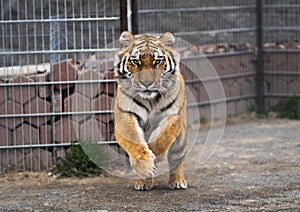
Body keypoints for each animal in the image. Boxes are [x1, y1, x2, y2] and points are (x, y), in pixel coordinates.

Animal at [113, 31, 186, 190]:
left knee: (176, 158)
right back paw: (144, 182)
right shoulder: (125, 115)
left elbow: (162, 139)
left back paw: (177, 180)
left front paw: (156, 159)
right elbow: (134, 140)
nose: (147, 83)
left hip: (181, 140)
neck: (150, 100)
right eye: (135, 61)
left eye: (157, 61)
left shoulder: (173, 115)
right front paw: (145, 166)